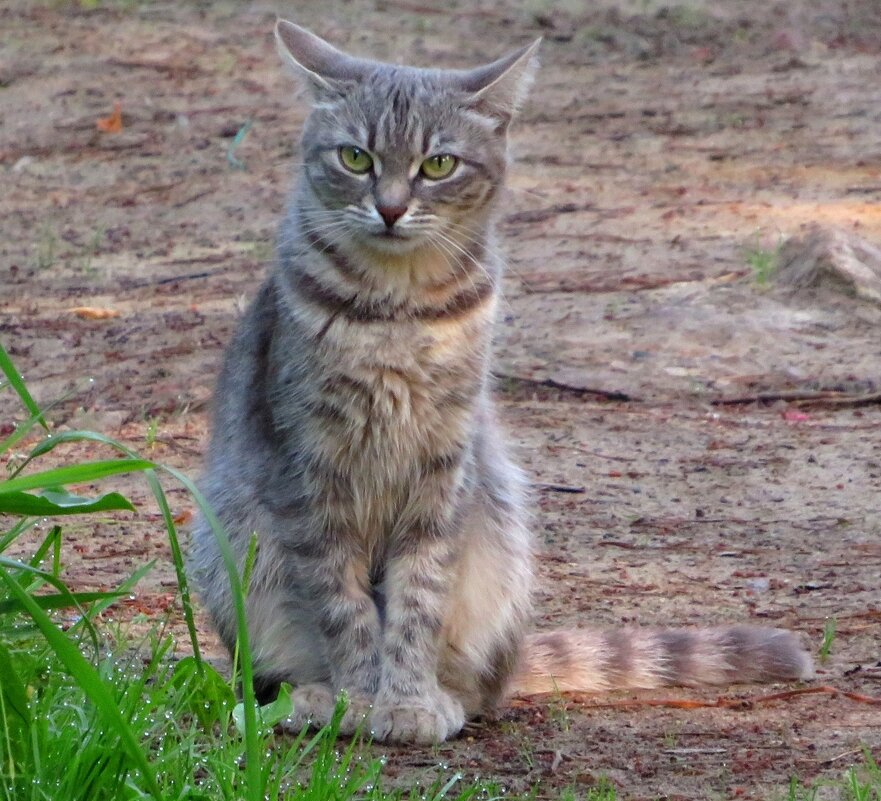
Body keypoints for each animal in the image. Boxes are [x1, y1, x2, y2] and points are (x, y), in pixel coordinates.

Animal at [189, 18, 816, 744]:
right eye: (354, 158)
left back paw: (443, 696)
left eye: (438, 164)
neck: (398, 312)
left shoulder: (443, 468)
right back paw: (311, 699)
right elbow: (343, 606)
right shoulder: (307, 470)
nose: (391, 209)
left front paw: (407, 702)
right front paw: (358, 698)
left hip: (499, 533)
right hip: (233, 545)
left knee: (480, 685)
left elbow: (417, 600)